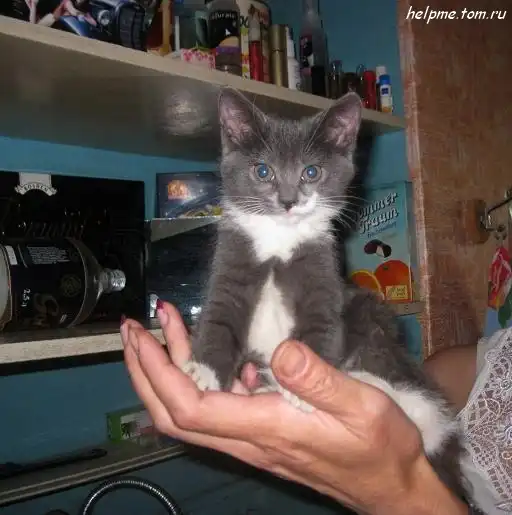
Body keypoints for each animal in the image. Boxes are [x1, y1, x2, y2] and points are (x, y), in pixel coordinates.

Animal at [179, 88, 468, 500]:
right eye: (262, 171)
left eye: (311, 172)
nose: (288, 201)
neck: (279, 237)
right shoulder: (232, 257)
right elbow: (220, 314)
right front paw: (203, 371)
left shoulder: (323, 270)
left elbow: (321, 321)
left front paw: (302, 391)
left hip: (370, 315)